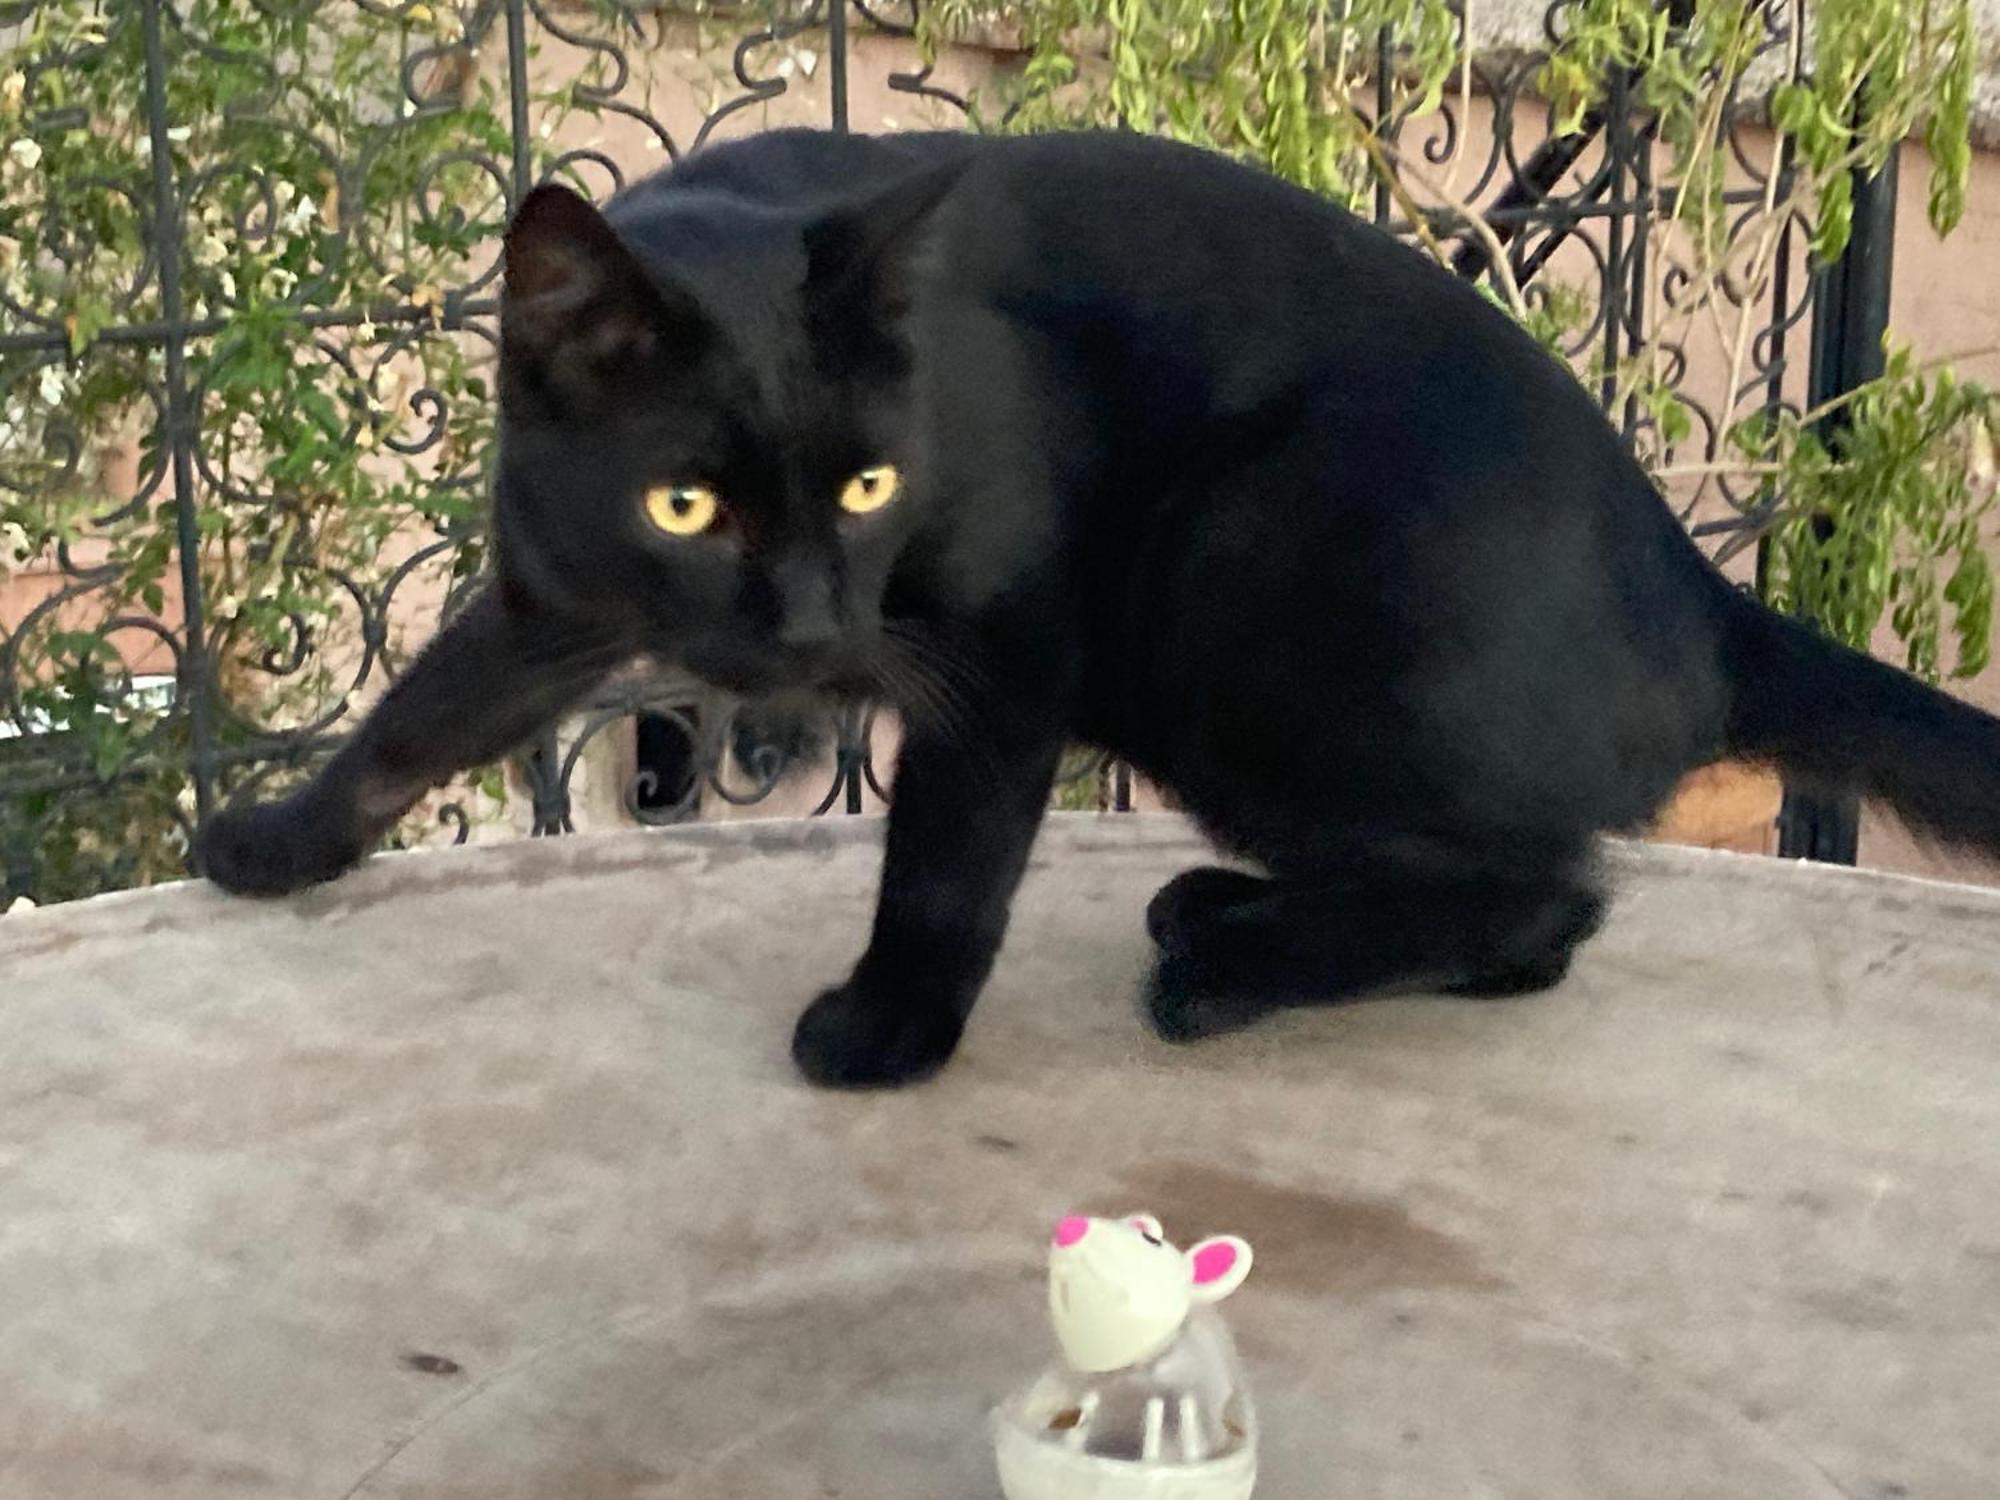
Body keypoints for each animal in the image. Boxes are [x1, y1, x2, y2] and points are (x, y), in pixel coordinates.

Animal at [199, 129, 2000, 1088]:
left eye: (873, 485)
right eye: (686, 505)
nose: (810, 634)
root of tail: (1701, 593)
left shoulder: (1006, 638)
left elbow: (948, 855)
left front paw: (891, 1026)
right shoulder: (552, 598)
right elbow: (417, 716)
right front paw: (276, 844)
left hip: (1223, 580)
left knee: (1543, 892)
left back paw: (1233, 968)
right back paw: (1226, 912)